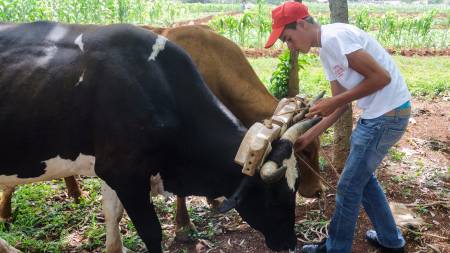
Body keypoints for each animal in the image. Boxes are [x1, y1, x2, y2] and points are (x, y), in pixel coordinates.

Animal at [0, 22, 312, 253]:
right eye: (273, 197)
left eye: (294, 188)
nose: (289, 243)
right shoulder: (125, 173)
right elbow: (151, 232)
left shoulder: (111, 170)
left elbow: (112, 217)